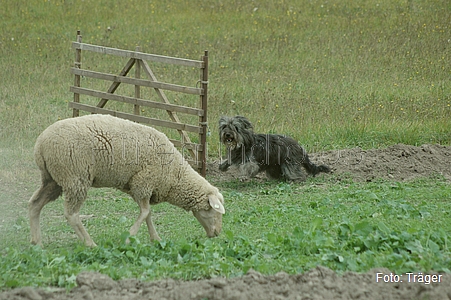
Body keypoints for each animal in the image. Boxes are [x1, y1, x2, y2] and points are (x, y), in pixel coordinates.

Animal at [28, 114, 226, 246]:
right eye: (214, 211)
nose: (217, 233)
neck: (176, 175)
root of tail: (40, 145)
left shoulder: (143, 187)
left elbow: (148, 214)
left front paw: (155, 239)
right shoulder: (143, 182)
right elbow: (145, 212)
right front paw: (130, 237)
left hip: (53, 179)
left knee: (35, 204)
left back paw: (37, 242)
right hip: (75, 177)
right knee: (72, 215)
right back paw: (90, 244)